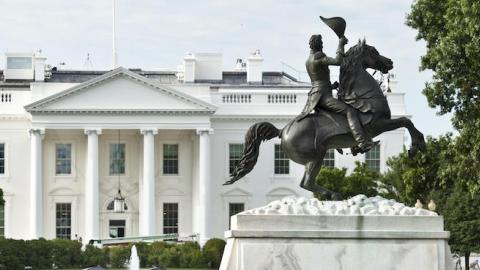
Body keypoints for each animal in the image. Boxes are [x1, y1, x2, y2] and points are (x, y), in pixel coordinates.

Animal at [225, 39, 428, 198]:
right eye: (373, 51)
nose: (389, 62)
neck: (364, 97)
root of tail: (282, 130)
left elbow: (407, 121)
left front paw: (417, 146)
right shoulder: (378, 124)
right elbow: (406, 121)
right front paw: (417, 146)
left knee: (306, 183)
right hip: (316, 156)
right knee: (306, 183)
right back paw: (334, 194)